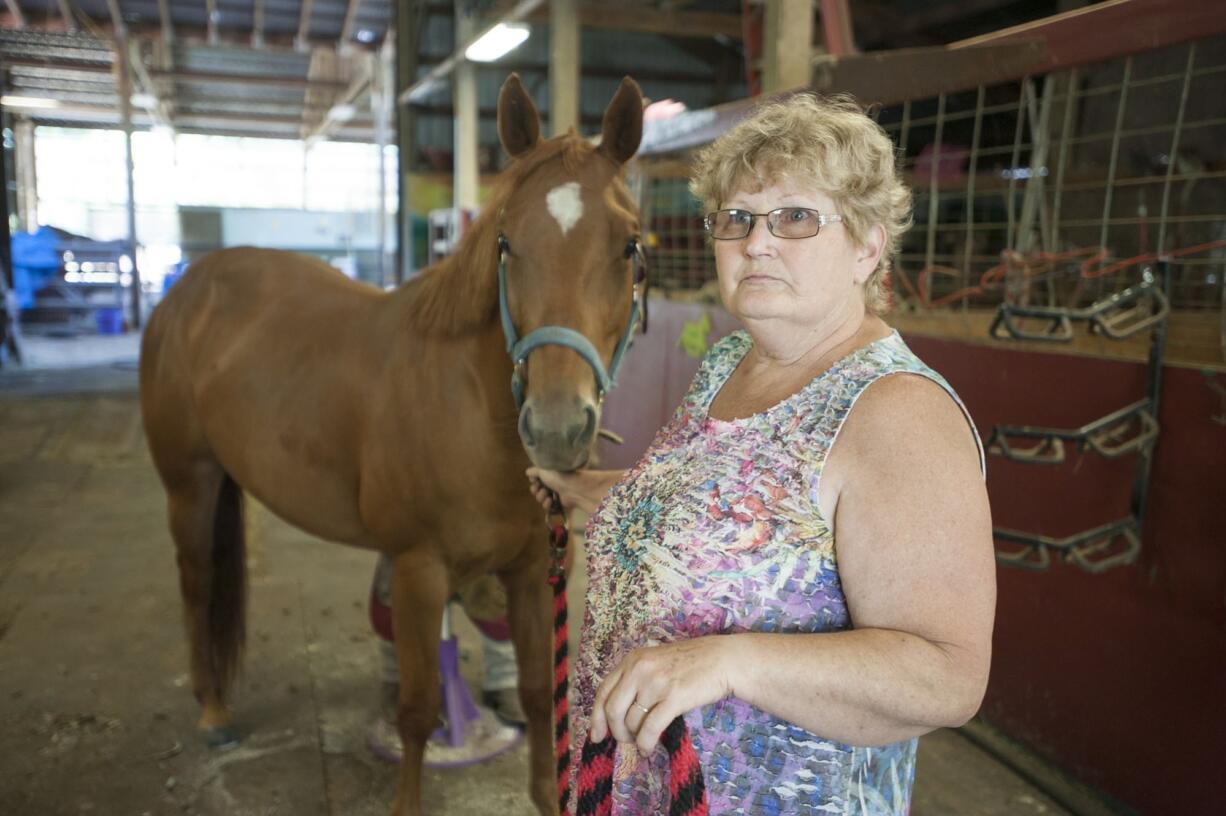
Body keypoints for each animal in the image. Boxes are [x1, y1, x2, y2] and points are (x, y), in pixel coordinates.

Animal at [139, 73, 647, 808]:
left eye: (630, 245)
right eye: (505, 242)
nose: (556, 428)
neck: (472, 408)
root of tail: (189, 289)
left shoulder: (530, 571)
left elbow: (533, 693)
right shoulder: (417, 571)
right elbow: (417, 709)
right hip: (190, 484)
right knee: (196, 584)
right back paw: (212, 711)